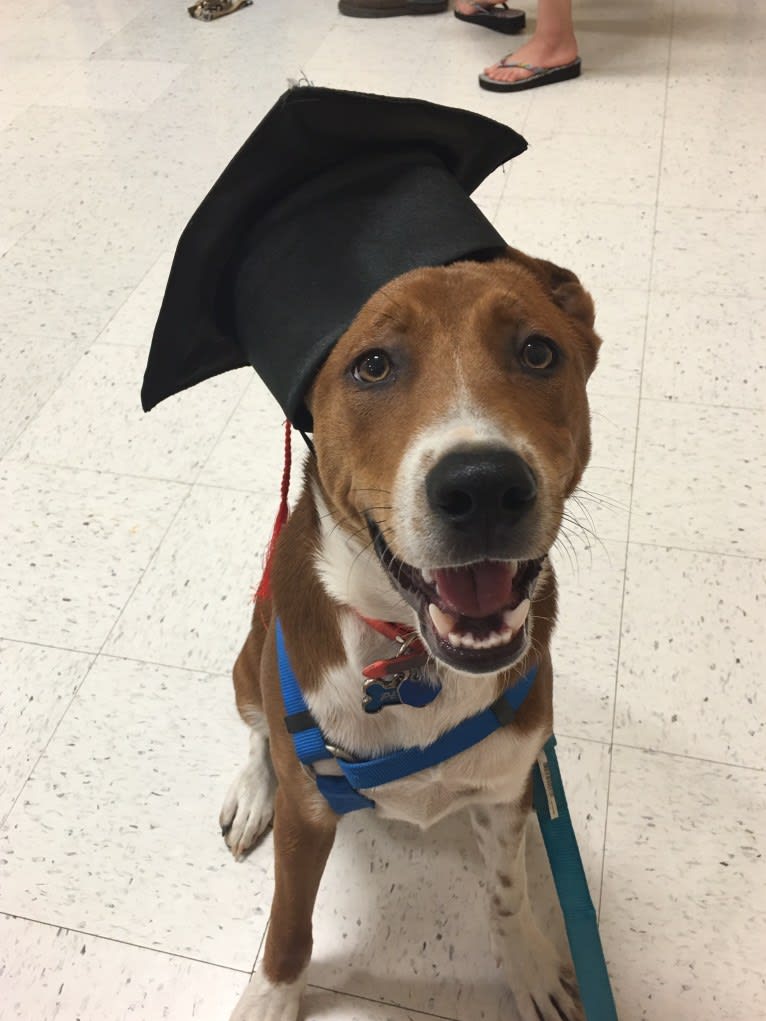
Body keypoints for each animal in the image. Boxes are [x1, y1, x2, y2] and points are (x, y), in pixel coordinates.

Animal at [218, 247, 604, 1021]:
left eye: (538, 352)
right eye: (372, 366)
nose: (483, 486)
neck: (410, 657)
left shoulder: (506, 789)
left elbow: (508, 894)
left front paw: (527, 964)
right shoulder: (310, 808)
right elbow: (288, 925)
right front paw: (273, 996)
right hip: (251, 659)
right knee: (256, 729)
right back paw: (251, 792)